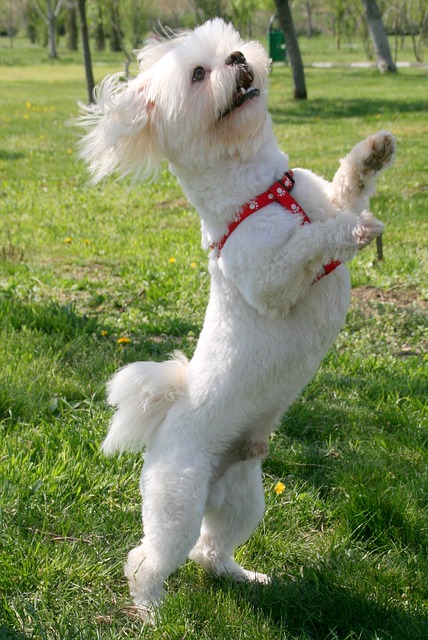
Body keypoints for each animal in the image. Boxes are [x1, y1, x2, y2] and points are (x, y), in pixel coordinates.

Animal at [78, 18, 396, 620]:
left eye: (232, 49)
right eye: (199, 75)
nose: (238, 61)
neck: (263, 190)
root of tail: (168, 417)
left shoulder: (320, 195)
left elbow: (347, 187)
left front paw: (372, 154)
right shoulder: (271, 278)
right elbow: (312, 242)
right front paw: (353, 232)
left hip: (244, 500)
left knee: (210, 549)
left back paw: (242, 576)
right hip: (176, 503)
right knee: (149, 557)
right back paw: (149, 609)